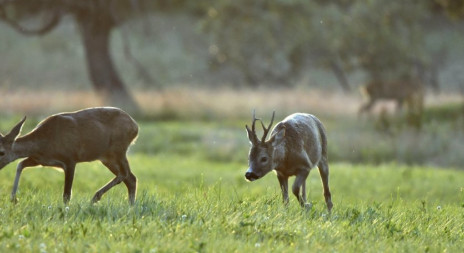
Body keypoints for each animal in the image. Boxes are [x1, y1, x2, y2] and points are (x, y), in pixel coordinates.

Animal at [0, 106, 138, 204]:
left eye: (2, 152)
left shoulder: (70, 159)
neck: (44, 142)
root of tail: (135, 126)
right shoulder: (40, 160)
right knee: (130, 178)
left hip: (118, 150)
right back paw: (130, 206)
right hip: (107, 158)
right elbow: (20, 164)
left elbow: (66, 195)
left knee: (125, 174)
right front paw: (13, 199)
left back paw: (95, 198)